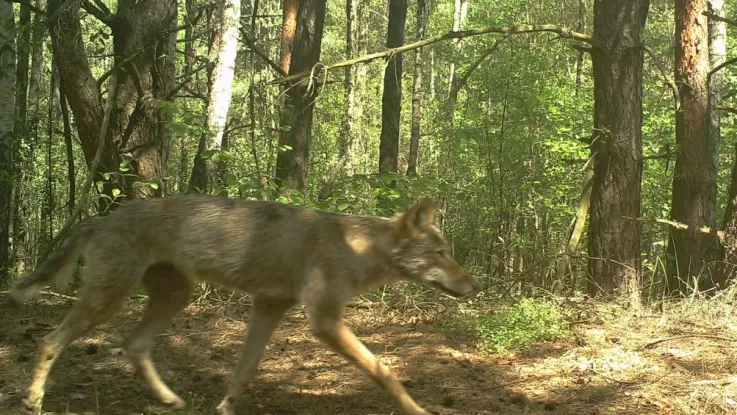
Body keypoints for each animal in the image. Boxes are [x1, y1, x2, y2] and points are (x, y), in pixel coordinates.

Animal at [8, 197, 480, 415]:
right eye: (441, 254)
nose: (474, 285)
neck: (356, 248)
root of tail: (101, 218)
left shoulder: (269, 306)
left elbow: (244, 369)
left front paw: (225, 407)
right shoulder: (324, 322)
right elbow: (385, 371)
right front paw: (416, 409)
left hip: (173, 297)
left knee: (135, 345)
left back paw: (170, 399)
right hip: (107, 299)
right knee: (50, 341)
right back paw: (33, 401)